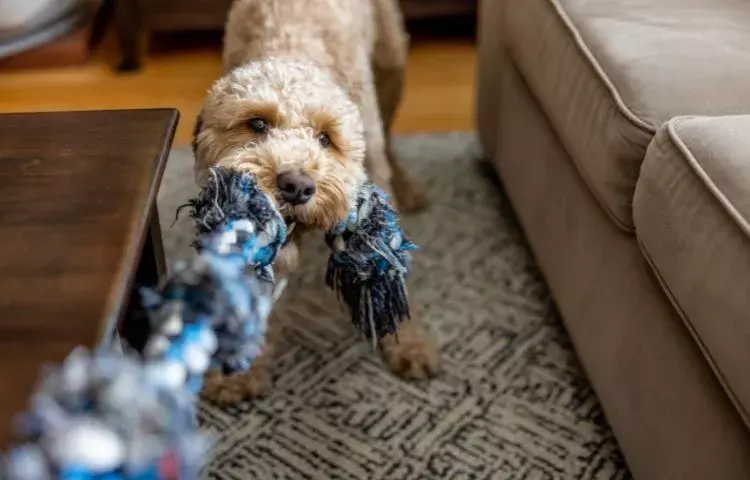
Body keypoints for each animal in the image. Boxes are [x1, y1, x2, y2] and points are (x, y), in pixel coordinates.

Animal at [192, 0, 440, 404]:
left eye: (326, 138)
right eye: (257, 124)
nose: (296, 185)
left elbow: (390, 272)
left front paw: (409, 343)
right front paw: (239, 372)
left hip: (391, 63)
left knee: (389, 137)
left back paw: (408, 187)